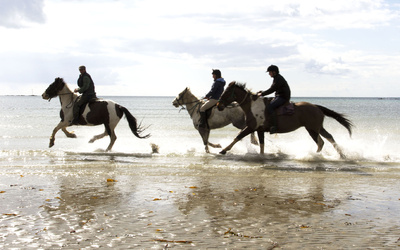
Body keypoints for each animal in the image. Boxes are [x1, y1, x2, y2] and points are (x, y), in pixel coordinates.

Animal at [216, 81, 354, 157]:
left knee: (321, 142)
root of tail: (316, 107)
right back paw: (342, 155)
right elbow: (261, 144)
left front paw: (223, 150)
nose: (219, 105)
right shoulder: (259, 130)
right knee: (329, 138)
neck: (252, 106)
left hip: (312, 129)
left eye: (226, 93)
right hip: (317, 128)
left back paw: (315, 156)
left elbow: (238, 137)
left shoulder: (251, 127)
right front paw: (262, 156)